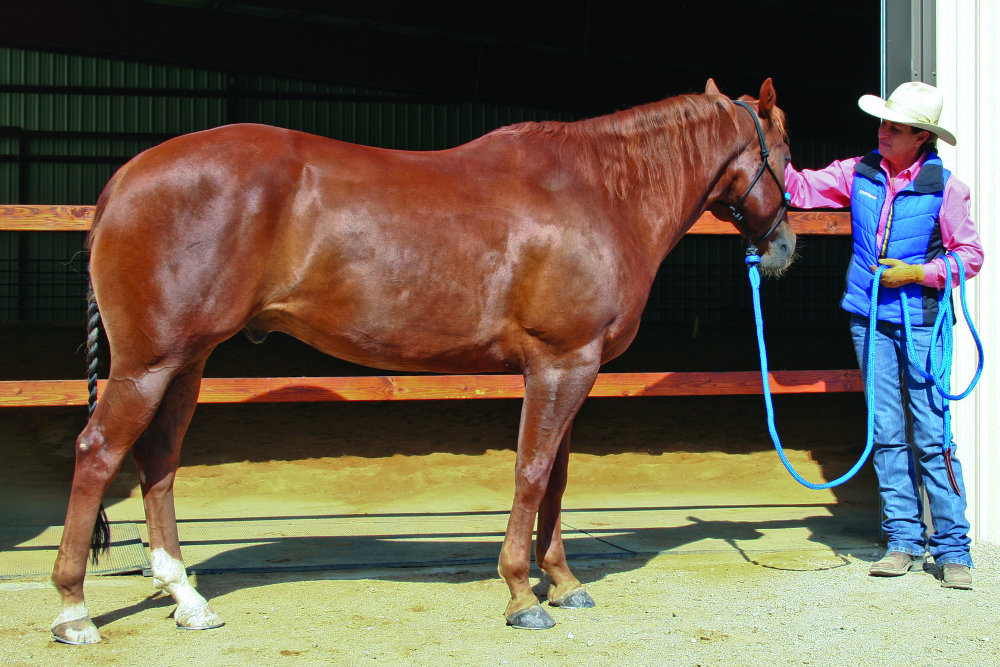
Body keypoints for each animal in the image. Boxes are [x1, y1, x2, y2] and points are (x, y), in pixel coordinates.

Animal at [50, 79, 792, 648]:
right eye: (784, 155)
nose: (784, 247)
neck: (600, 193)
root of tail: (124, 179)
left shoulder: (574, 368)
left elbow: (556, 477)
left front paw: (564, 582)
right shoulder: (559, 364)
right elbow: (530, 474)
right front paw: (522, 593)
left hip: (187, 362)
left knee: (158, 461)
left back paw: (187, 599)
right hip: (149, 364)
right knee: (99, 452)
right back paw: (73, 610)